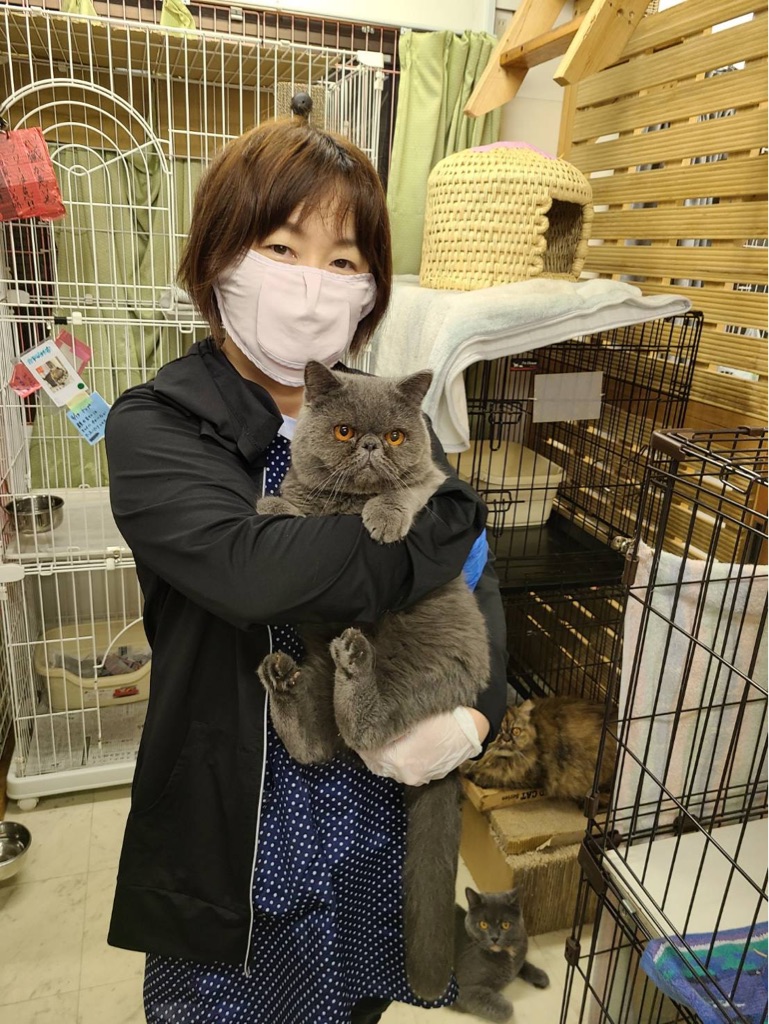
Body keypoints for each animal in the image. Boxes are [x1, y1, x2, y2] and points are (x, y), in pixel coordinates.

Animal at [255, 360, 491, 1001]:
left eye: (394, 436)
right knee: (318, 742)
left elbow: (404, 490)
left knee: (368, 727)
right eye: (342, 431)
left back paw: (357, 668)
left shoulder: (429, 480)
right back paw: (282, 680)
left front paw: (382, 520)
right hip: (317, 678)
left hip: (418, 665)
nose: (368, 447)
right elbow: (298, 504)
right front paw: (272, 505)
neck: (344, 505)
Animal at [452, 886, 549, 1022]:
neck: (506, 952)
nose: (494, 938)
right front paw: (499, 996)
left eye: (505, 925)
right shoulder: (463, 989)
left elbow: (523, 964)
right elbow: (507, 1010)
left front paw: (540, 976)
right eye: (483, 924)